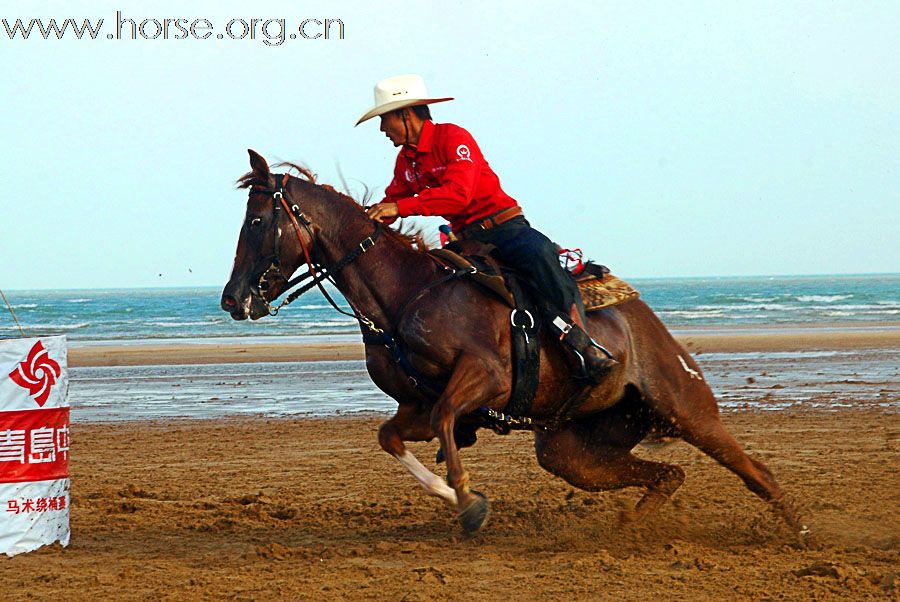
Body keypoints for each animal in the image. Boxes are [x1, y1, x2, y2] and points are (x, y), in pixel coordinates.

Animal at [223, 150, 800, 536]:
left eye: (257, 221)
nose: (232, 299)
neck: (408, 294)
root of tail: (646, 321)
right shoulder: (417, 404)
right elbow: (391, 437)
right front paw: (455, 493)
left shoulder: (485, 380)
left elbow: (443, 422)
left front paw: (468, 502)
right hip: (571, 449)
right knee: (667, 474)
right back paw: (631, 528)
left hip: (687, 410)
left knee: (758, 474)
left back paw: (800, 533)